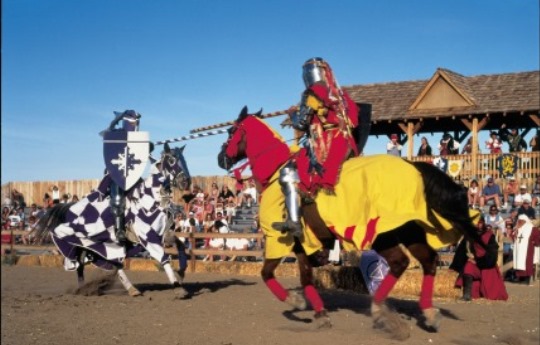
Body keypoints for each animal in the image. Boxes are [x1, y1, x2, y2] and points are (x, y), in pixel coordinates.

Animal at [217, 105, 478, 334]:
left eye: (231, 132)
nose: (220, 158)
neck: (274, 173)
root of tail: (414, 168)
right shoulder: (303, 245)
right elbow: (306, 277)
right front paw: (320, 314)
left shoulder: (279, 240)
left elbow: (267, 274)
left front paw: (295, 301)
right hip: (408, 230)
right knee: (428, 260)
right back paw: (429, 313)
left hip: (382, 234)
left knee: (400, 262)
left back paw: (380, 310)